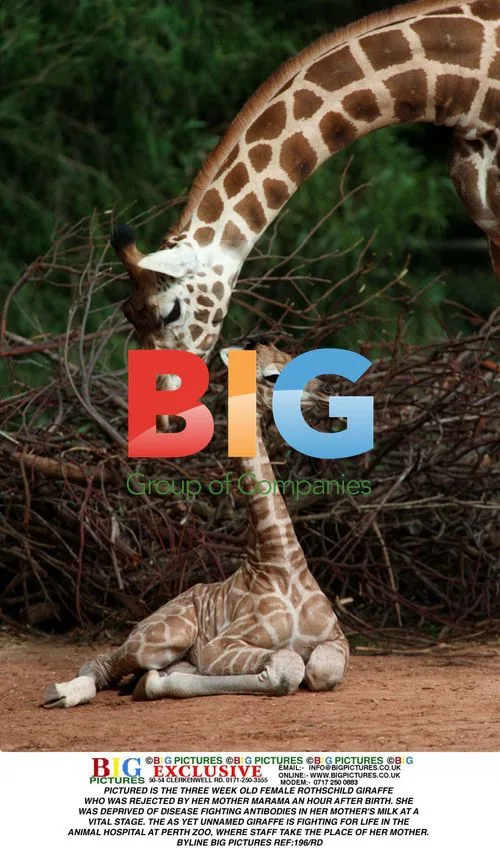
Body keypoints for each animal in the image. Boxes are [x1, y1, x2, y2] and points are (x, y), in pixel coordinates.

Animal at [42, 341, 349, 707]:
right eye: (273, 375)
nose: (329, 390)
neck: (280, 560)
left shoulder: (336, 638)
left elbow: (321, 670)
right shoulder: (220, 646)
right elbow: (288, 666)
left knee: (153, 672)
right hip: (164, 636)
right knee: (102, 662)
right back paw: (62, 693)